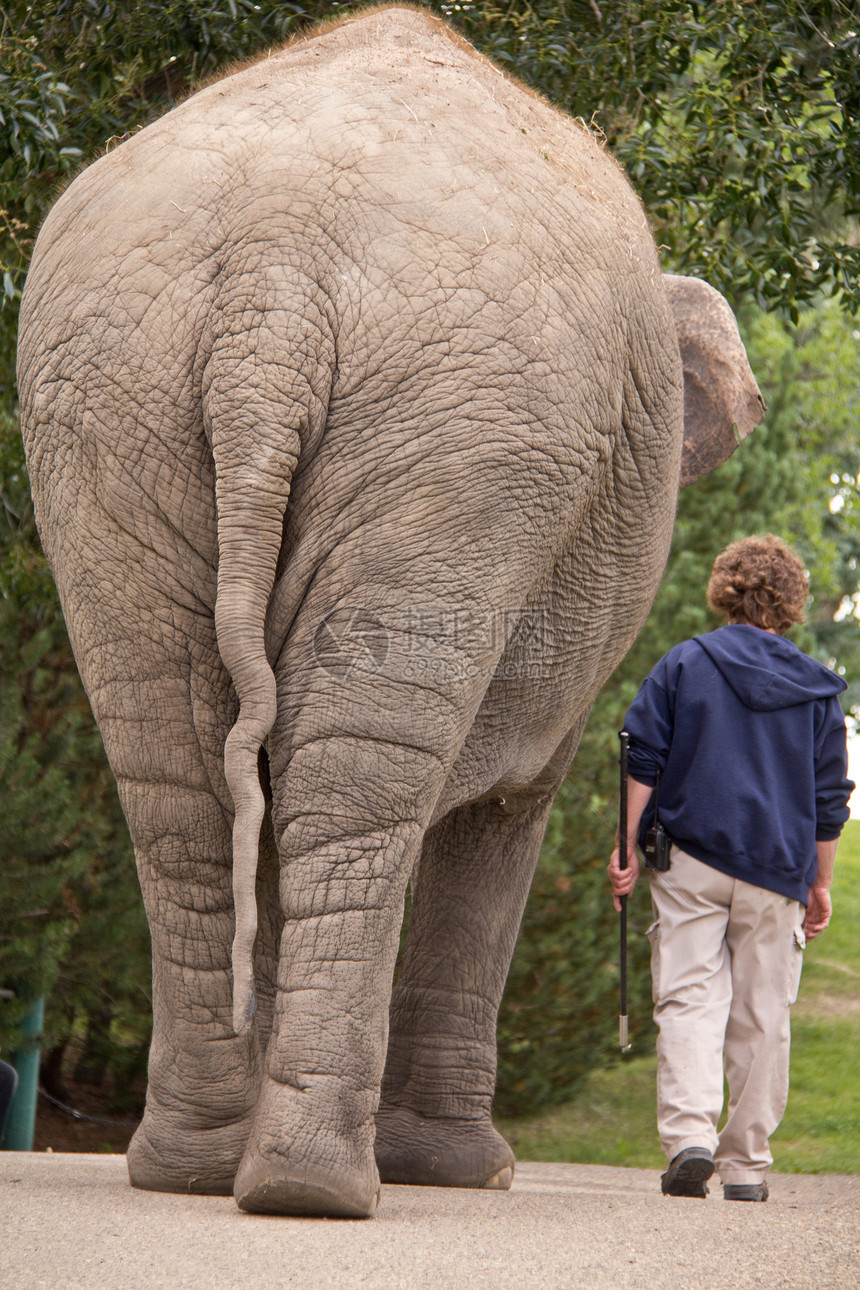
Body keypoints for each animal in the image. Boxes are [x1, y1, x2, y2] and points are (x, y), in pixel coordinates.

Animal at [16, 5, 763, 1212]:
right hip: (466, 441)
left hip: (109, 407)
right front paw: (469, 1175)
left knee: (183, 790)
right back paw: (318, 1188)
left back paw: (199, 1171)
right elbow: (506, 813)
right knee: (349, 791)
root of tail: (272, 279)